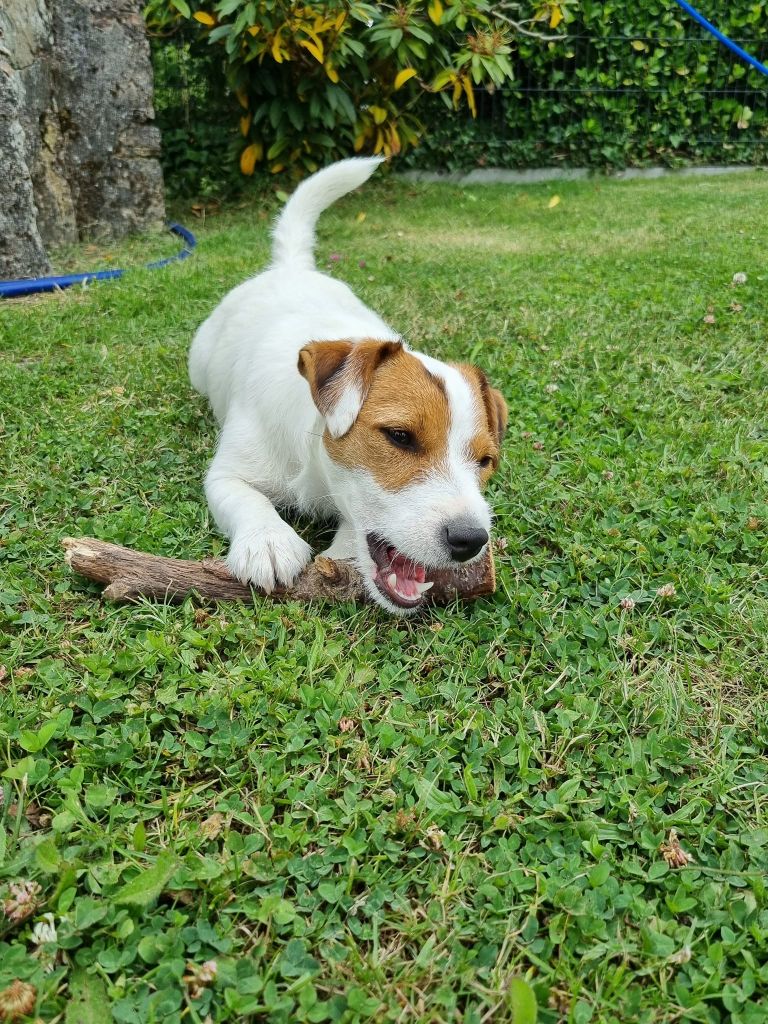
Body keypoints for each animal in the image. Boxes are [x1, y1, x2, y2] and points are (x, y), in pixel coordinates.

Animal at [189, 155, 507, 610]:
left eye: (484, 461)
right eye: (400, 437)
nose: (471, 540)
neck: (313, 465)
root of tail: (292, 267)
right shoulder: (227, 474)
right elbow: (244, 496)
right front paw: (268, 540)